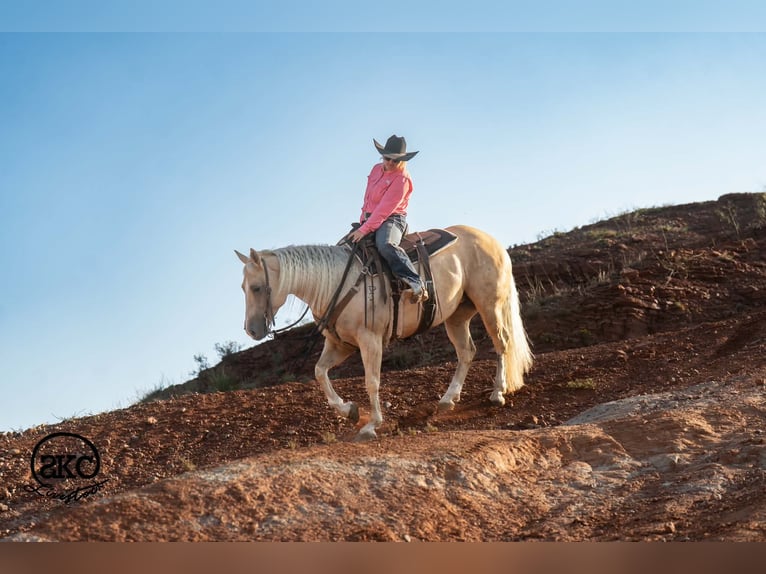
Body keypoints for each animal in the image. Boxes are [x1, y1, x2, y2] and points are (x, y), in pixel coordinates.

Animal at [235, 225, 533, 441]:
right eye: (243, 287)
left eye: (257, 288)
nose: (251, 330)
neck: (336, 282)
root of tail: (492, 240)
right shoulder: (340, 344)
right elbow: (320, 372)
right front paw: (350, 411)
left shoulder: (371, 340)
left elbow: (372, 381)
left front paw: (371, 425)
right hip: (457, 315)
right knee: (467, 352)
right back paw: (448, 399)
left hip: (489, 304)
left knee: (502, 343)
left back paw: (498, 393)